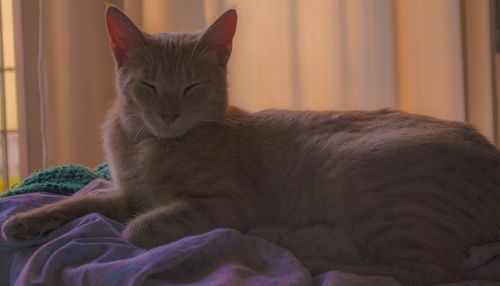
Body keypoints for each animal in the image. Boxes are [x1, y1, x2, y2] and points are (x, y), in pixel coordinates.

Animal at [0, 6, 500, 286]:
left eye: (192, 87)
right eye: (148, 85)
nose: (168, 114)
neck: (149, 145)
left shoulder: (223, 205)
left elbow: (135, 230)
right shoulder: (129, 193)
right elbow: (86, 203)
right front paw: (26, 220)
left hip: (365, 181)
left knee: (422, 270)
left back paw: (300, 249)